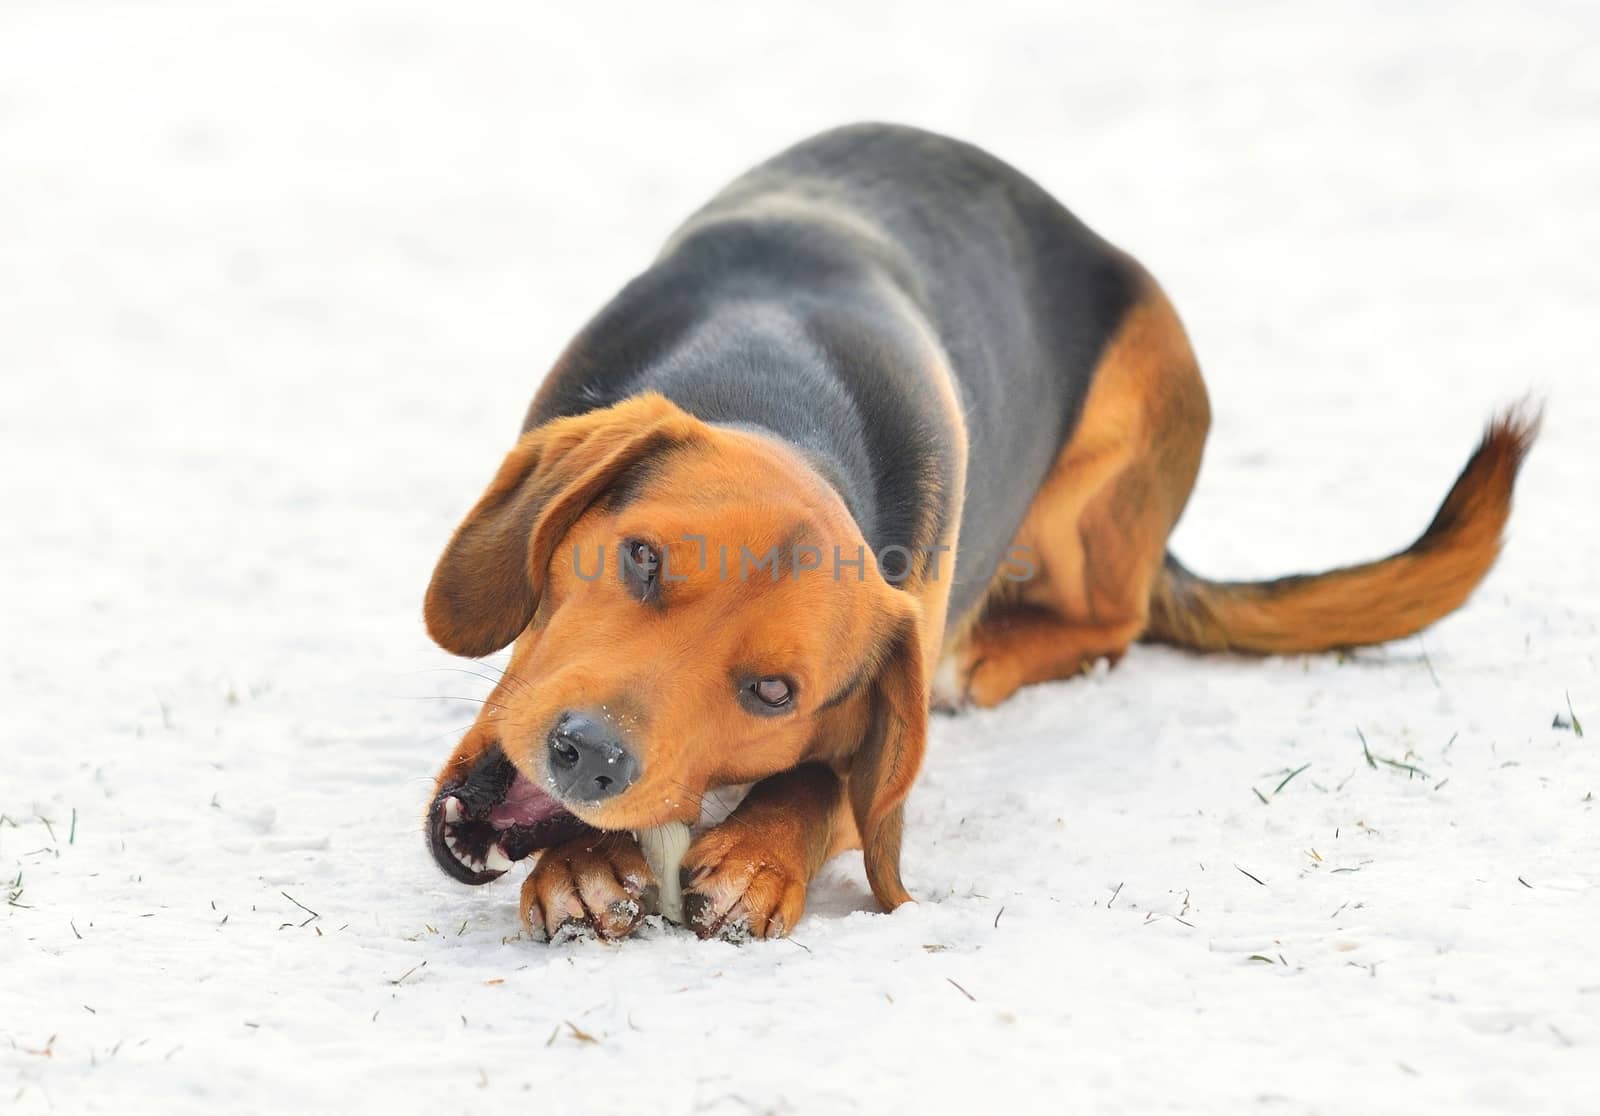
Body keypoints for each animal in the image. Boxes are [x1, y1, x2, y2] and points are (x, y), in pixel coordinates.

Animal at [422, 121, 1536, 940]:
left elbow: (832, 786)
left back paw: (992, 655)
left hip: (1107, 468)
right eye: (643, 559)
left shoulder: (892, 696)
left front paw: (758, 854)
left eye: (774, 693)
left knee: (1114, 621)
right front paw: (585, 859)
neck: (782, 391)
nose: (588, 758)